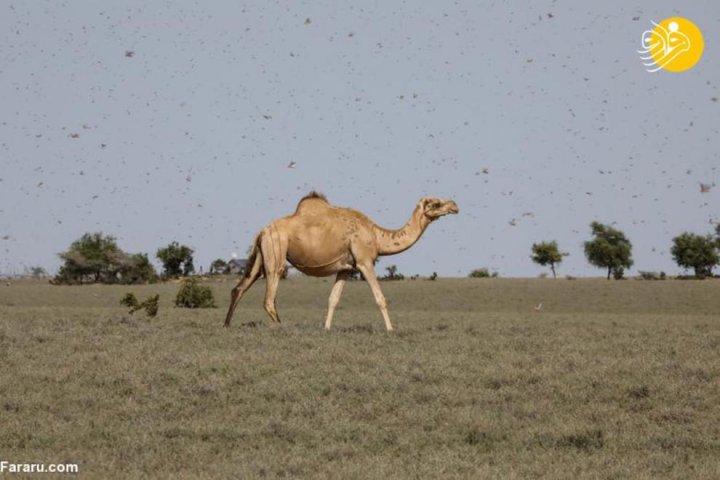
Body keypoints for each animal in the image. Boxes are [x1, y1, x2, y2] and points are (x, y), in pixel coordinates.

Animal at [225, 191, 458, 330]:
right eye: (436, 203)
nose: (455, 205)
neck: (376, 235)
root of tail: (262, 231)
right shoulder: (364, 261)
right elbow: (380, 298)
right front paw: (391, 330)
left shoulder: (346, 268)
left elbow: (333, 299)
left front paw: (326, 328)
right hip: (276, 252)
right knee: (269, 298)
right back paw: (282, 327)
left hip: (261, 255)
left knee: (240, 288)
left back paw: (227, 324)